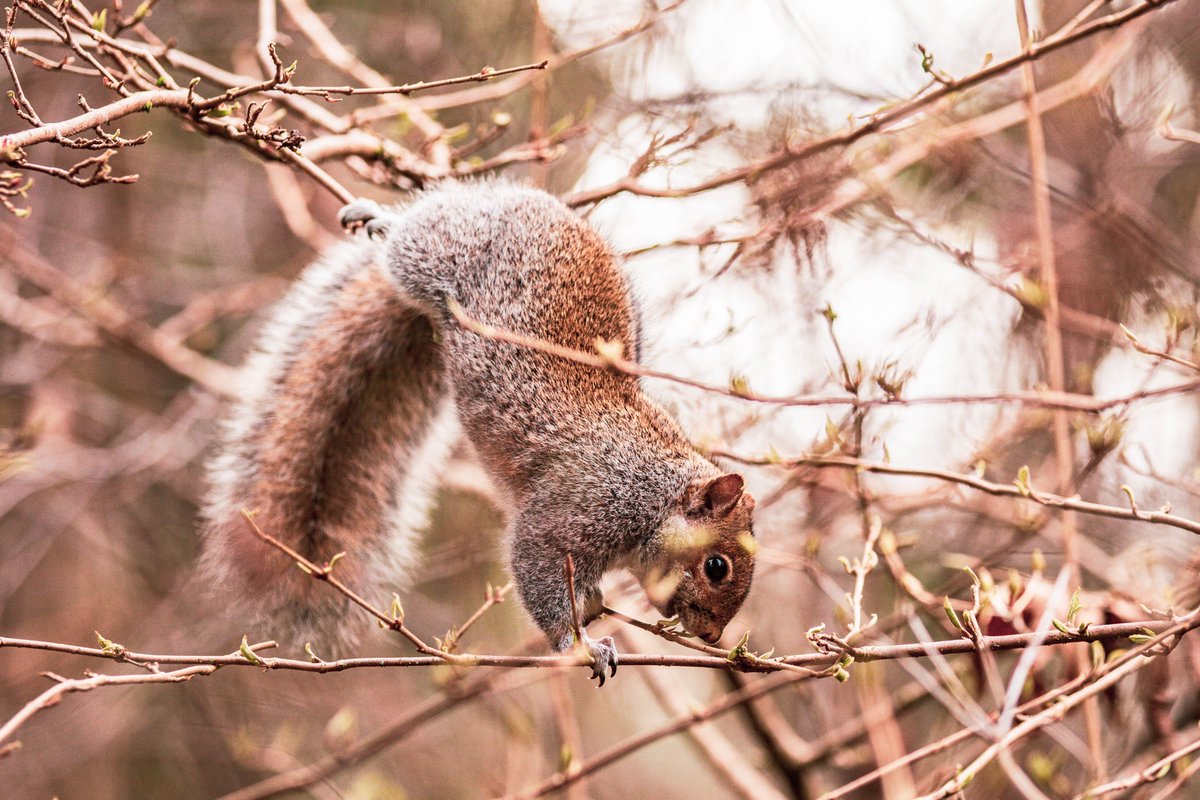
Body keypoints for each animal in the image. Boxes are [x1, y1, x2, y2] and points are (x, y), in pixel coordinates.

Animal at [200, 181, 757, 683]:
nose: (712, 636)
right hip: (442, 251)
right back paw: (380, 218)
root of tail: (521, 196)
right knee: (410, 242)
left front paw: (593, 607)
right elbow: (537, 565)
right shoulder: (581, 507)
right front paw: (578, 644)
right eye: (717, 567)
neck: (654, 488)